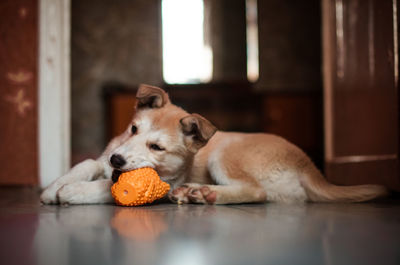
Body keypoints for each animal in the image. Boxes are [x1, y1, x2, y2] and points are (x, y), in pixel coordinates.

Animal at [39, 84, 388, 204]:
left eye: (157, 148)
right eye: (133, 129)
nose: (117, 161)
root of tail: (308, 165)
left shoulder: (158, 184)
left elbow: (107, 187)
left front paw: (71, 192)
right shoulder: (104, 156)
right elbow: (84, 164)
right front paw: (51, 189)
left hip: (224, 154)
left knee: (256, 192)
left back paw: (206, 193)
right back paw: (195, 192)